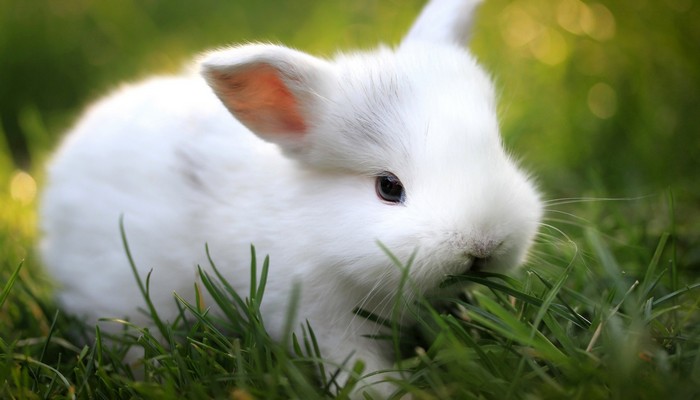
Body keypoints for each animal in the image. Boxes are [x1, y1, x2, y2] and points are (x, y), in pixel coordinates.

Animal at [39, 0, 540, 396]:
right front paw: (387, 392)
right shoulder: (319, 319)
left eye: (497, 149)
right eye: (388, 187)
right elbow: (355, 366)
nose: (484, 244)